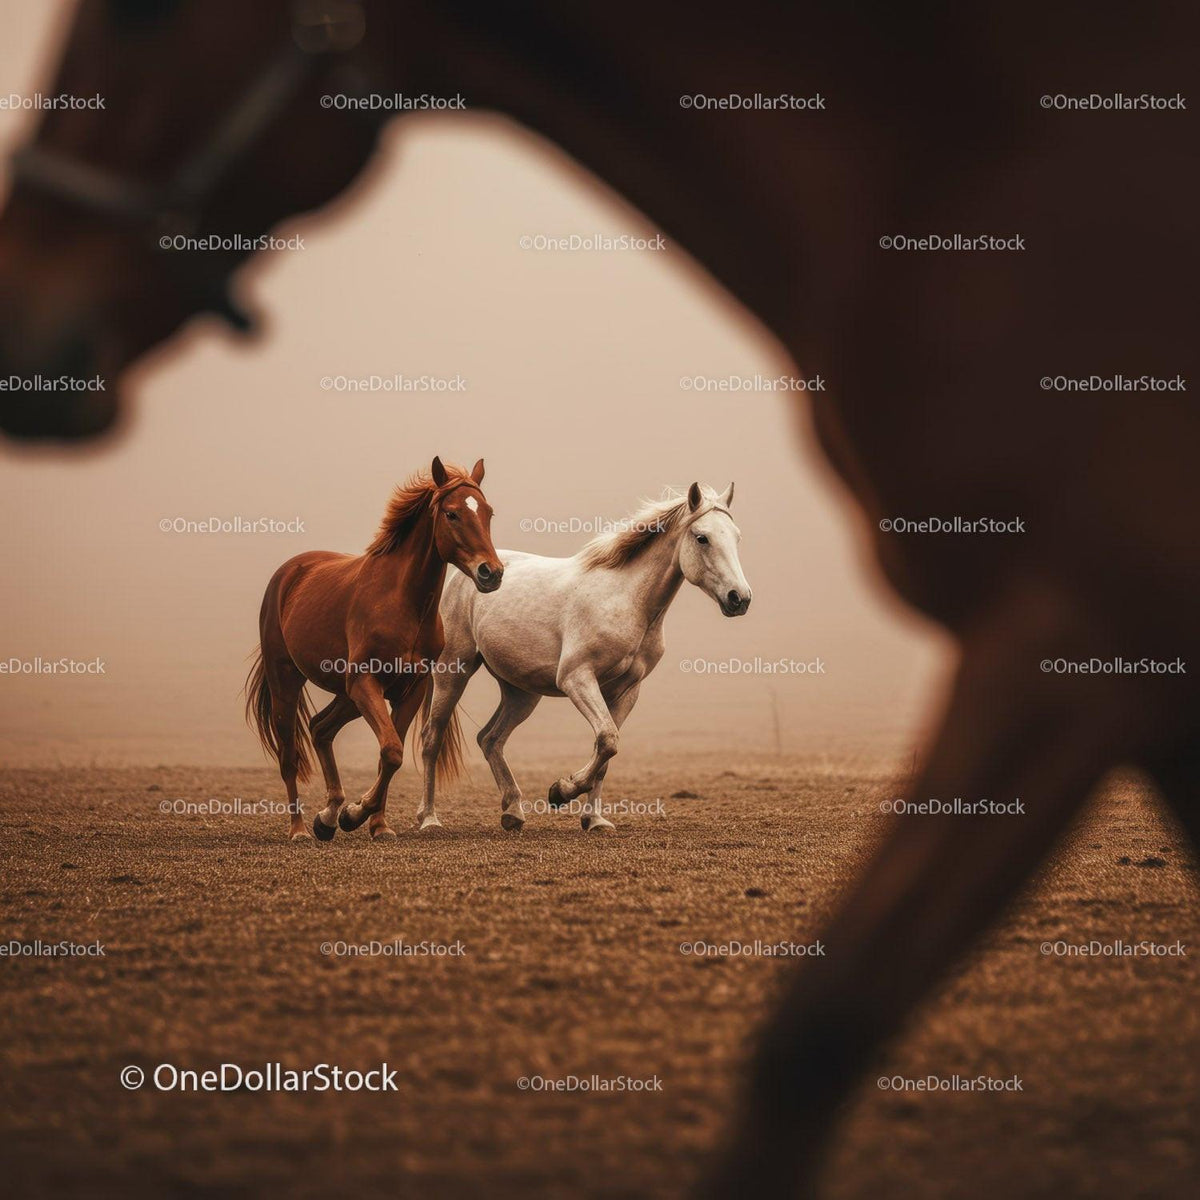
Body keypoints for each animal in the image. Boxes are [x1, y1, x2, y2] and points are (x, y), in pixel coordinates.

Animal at [245, 457, 503, 842]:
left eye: (487, 512)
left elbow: (389, 755)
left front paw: (376, 824)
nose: (492, 573)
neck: (403, 603)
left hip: (347, 696)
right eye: (452, 513)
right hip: (288, 682)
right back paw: (301, 829)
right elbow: (392, 751)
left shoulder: (410, 690)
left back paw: (327, 816)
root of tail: (289, 573)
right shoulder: (366, 682)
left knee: (320, 729)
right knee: (289, 754)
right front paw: (356, 813)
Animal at [417, 482, 751, 834]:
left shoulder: (625, 691)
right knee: (432, 738)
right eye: (702, 538)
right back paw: (429, 818)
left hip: (521, 692)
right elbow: (607, 739)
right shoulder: (576, 678)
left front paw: (594, 819)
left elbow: (606, 749)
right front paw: (560, 792)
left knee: (490, 738)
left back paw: (513, 812)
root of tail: (470, 573)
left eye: (736, 537)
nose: (739, 598)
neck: (625, 600)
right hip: (453, 671)